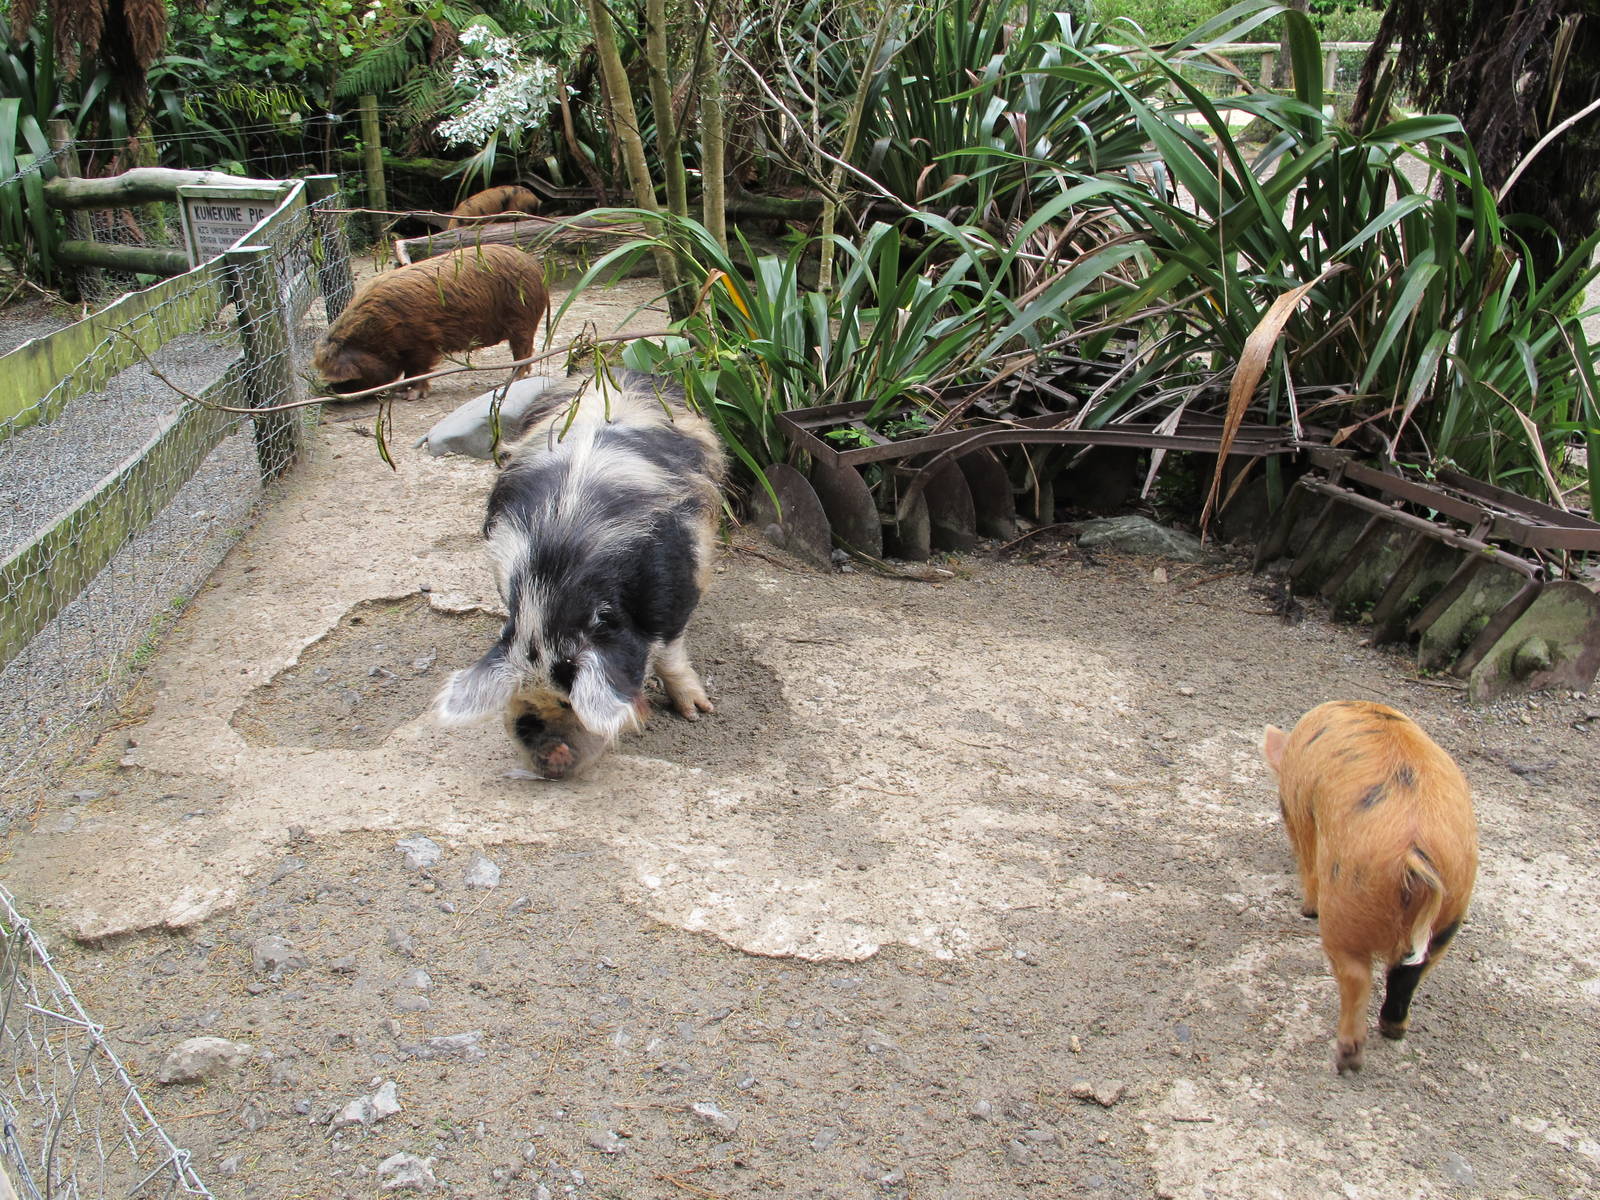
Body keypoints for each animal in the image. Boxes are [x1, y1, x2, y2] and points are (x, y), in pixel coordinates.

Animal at [312, 244, 548, 401]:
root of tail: (536, 267)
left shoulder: (423, 342)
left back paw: (511, 381)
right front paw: (401, 391)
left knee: (523, 351)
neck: (378, 335)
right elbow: (409, 372)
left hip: (521, 319)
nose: (334, 393)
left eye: (345, 379)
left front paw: (411, 396)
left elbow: (418, 370)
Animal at [433, 369, 726, 780]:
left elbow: (670, 652)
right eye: (519, 694)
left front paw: (698, 712)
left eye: (570, 703)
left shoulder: (677, 587)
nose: (551, 757)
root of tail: (617, 372)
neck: (555, 576)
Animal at [1262, 700, 1479, 1074]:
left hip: (1346, 903)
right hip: (1451, 910)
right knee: (1409, 974)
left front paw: (1305, 909)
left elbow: (1308, 861)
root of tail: (1414, 854)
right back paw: (1393, 1030)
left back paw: (1347, 1057)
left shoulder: (1303, 814)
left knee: (1356, 976)